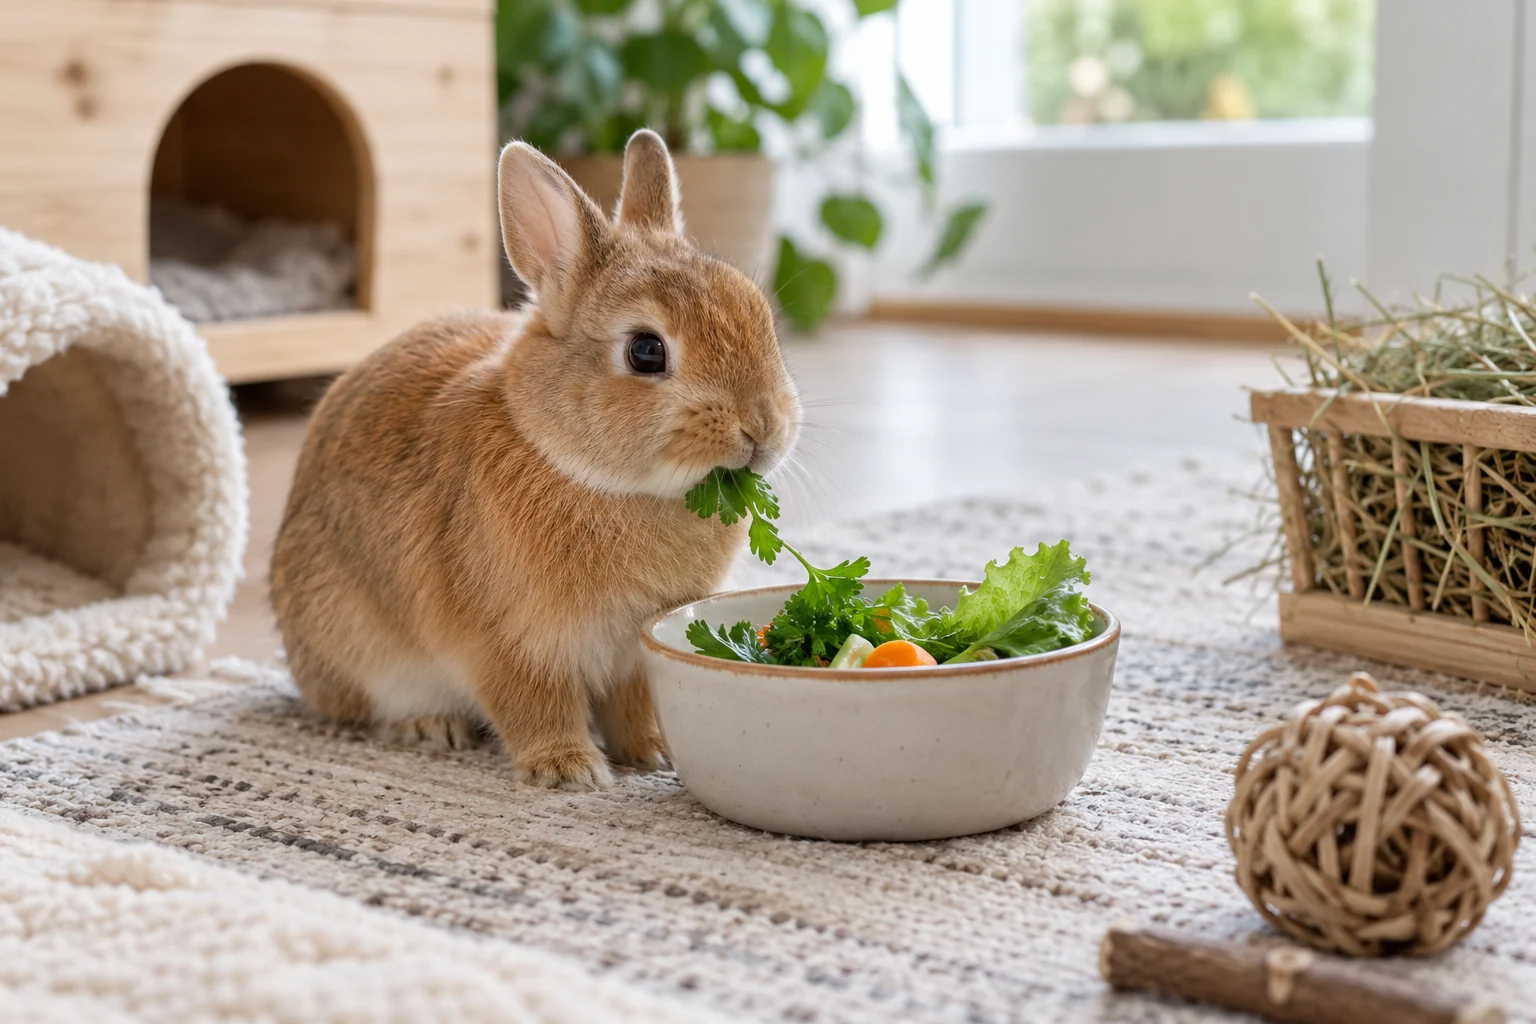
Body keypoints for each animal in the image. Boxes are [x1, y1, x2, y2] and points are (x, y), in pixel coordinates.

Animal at [269, 130, 801, 790]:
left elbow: (634, 705)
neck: (575, 466)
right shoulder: (508, 643)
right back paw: (430, 727)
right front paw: (569, 770)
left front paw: (651, 754)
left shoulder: (633, 652)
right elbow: (532, 704)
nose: (764, 428)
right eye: (646, 351)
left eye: (759, 314)